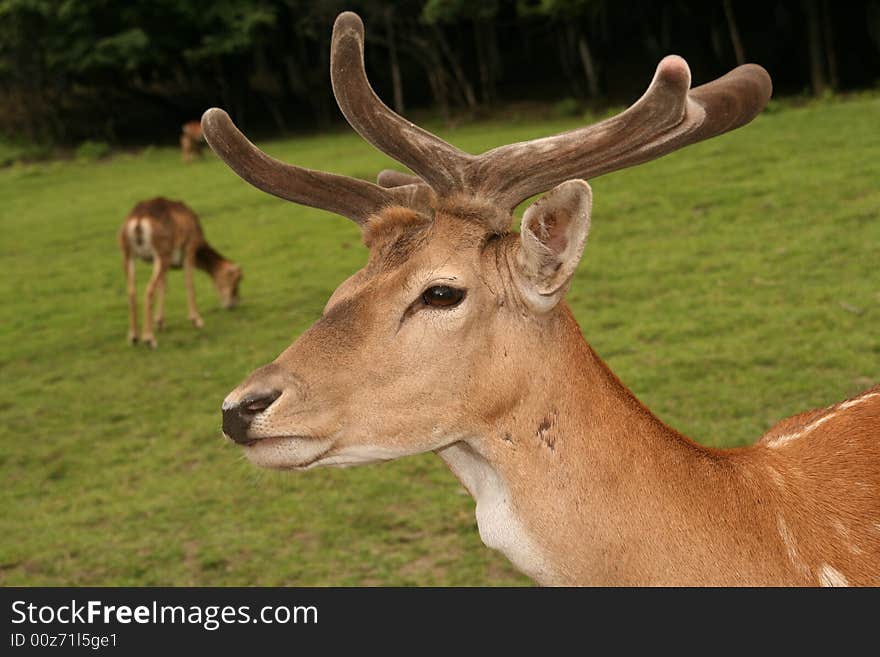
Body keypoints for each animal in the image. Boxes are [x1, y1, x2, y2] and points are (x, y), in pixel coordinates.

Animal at [118, 196, 244, 346]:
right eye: (235, 281)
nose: (233, 304)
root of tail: (138, 221)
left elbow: (163, 287)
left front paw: (160, 322)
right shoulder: (190, 247)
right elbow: (189, 282)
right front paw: (197, 321)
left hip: (127, 253)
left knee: (131, 291)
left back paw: (133, 337)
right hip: (162, 252)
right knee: (148, 290)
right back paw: (149, 339)